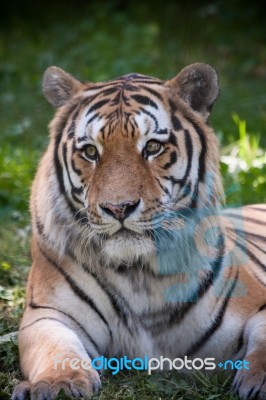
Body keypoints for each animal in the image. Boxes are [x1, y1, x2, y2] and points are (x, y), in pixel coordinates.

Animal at [11, 62, 266, 400]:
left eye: (153, 147)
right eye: (90, 151)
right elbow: (57, 349)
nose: (119, 207)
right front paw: (60, 384)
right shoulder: (48, 314)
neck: (140, 275)